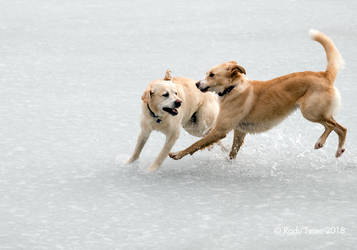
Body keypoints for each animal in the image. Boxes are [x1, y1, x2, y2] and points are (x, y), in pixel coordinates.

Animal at [169, 30, 344, 161]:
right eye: (207, 74)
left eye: (211, 75)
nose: (197, 84)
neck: (232, 88)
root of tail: (324, 74)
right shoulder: (240, 131)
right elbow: (232, 151)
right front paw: (229, 162)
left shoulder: (220, 130)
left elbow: (196, 144)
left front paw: (178, 154)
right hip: (318, 112)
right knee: (341, 128)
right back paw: (339, 150)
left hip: (310, 112)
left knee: (333, 125)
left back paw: (320, 142)